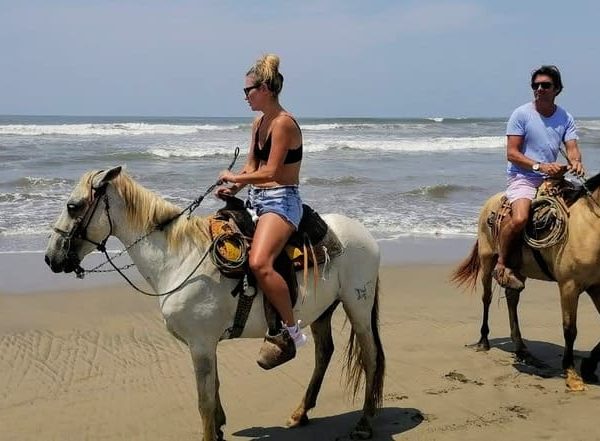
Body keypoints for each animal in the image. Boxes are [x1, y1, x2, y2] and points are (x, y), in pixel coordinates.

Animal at [44, 166, 386, 440]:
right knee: (323, 354)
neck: (180, 258)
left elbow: (204, 401)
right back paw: (300, 413)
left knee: (370, 357)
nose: (51, 257)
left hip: (358, 305)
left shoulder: (201, 345)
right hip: (322, 311)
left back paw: (364, 424)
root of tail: (362, 232)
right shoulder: (207, 346)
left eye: (73, 206)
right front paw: (220, 426)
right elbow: (215, 389)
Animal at [452, 174, 600, 390]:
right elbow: (569, 329)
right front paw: (572, 375)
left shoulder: (596, 286)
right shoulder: (569, 286)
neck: (589, 226)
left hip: (519, 270)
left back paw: (522, 349)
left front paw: (588, 367)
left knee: (512, 298)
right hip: (487, 260)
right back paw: (483, 341)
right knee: (487, 298)